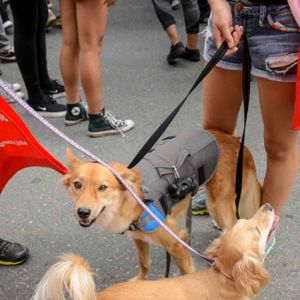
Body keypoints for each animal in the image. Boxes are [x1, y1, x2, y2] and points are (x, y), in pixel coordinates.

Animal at [62, 130, 260, 280]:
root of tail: (233, 139)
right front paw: (139, 282)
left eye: (102, 187)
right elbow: (144, 263)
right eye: (77, 185)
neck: (135, 199)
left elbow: (186, 273)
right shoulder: (139, 238)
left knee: (234, 225)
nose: (83, 212)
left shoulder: (176, 242)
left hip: (217, 204)